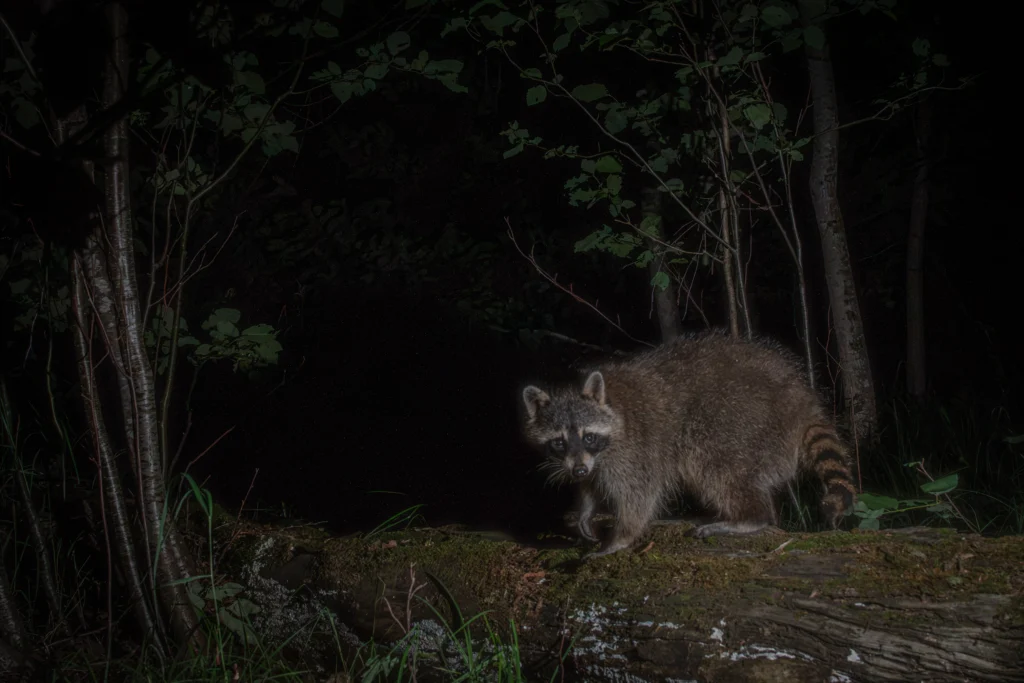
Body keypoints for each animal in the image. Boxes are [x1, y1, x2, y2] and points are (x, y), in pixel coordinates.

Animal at [520, 330, 857, 558]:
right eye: (558, 442)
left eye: (588, 436)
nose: (576, 470)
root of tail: (802, 402)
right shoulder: (590, 459)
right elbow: (591, 483)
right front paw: (586, 508)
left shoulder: (636, 447)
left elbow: (639, 495)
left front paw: (621, 537)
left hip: (741, 422)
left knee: (715, 467)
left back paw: (749, 517)